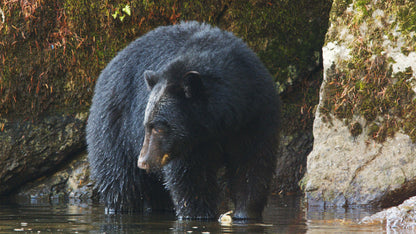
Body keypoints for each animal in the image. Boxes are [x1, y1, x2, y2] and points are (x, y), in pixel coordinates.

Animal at [86, 21, 282, 220]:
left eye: (158, 127)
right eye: (147, 125)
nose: (143, 161)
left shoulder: (256, 117)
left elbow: (252, 166)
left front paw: (245, 213)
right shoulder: (186, 144)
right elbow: (191, 180)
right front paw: (199, 214)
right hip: (114, 130)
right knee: (120, 181)